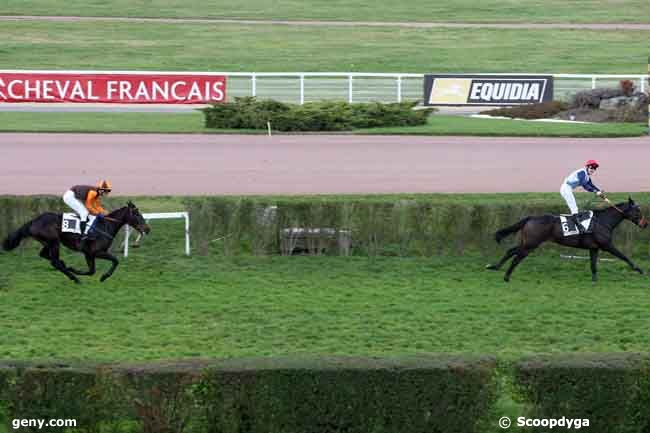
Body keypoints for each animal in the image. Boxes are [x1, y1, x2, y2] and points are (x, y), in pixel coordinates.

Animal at [0, 202, 149, 284]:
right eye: (137, 214)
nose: (147, 229)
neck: (105, 226)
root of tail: (34, 221)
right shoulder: (95, 252)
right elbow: (115, 260)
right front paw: (104, 277)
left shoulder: (89, 254)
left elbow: (91, 271)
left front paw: (74, 269)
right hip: (53, 241)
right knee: (54, 261)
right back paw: (74, 278)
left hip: (48, 242)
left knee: (45, 256)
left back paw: (66, 267)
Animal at [486, 197, 644, 282]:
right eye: (637, 211)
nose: (645, 224)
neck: (603, 221)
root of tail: (530, 218)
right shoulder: (607, 245)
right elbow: (623, 256)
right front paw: (639, 269)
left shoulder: (594, 248)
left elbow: (593, 265)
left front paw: (594, 280)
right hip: (531, 244)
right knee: (516, 257)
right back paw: (506, 276)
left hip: (526, 242)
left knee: (511, 251)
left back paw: (495, 267)